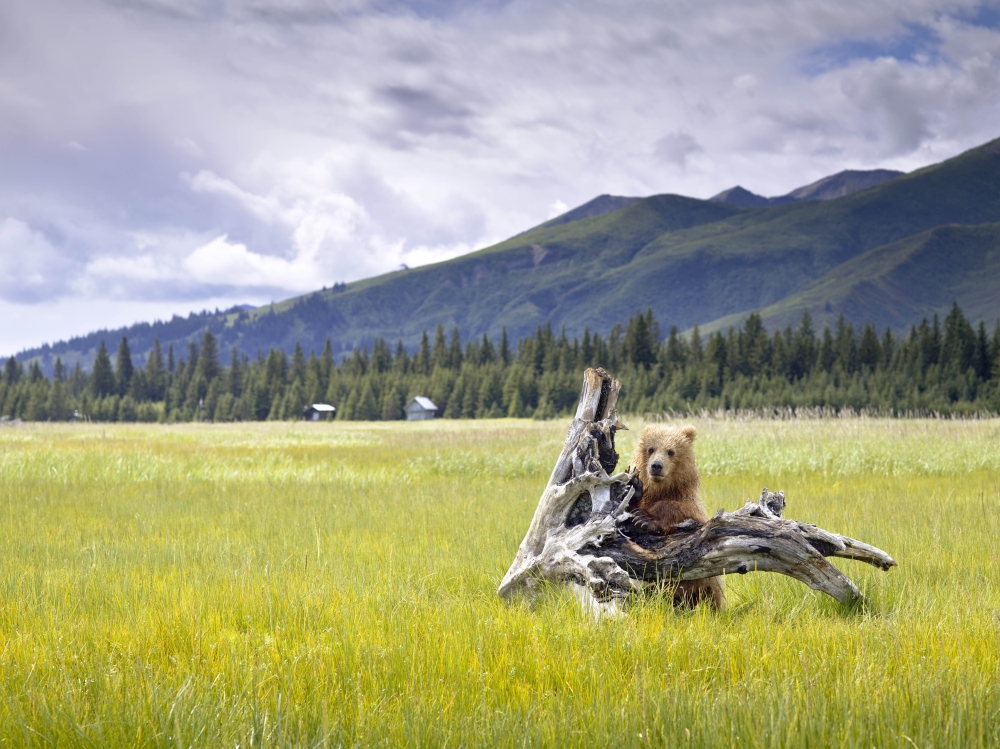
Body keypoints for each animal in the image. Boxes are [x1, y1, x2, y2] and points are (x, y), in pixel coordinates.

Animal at [628, 424, 725, 610]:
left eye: (671, 451)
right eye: (651, 449)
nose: (656, 466)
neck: (660, 490)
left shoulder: (691, 507)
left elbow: (680, 513)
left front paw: (644, 519)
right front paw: (635, 487)